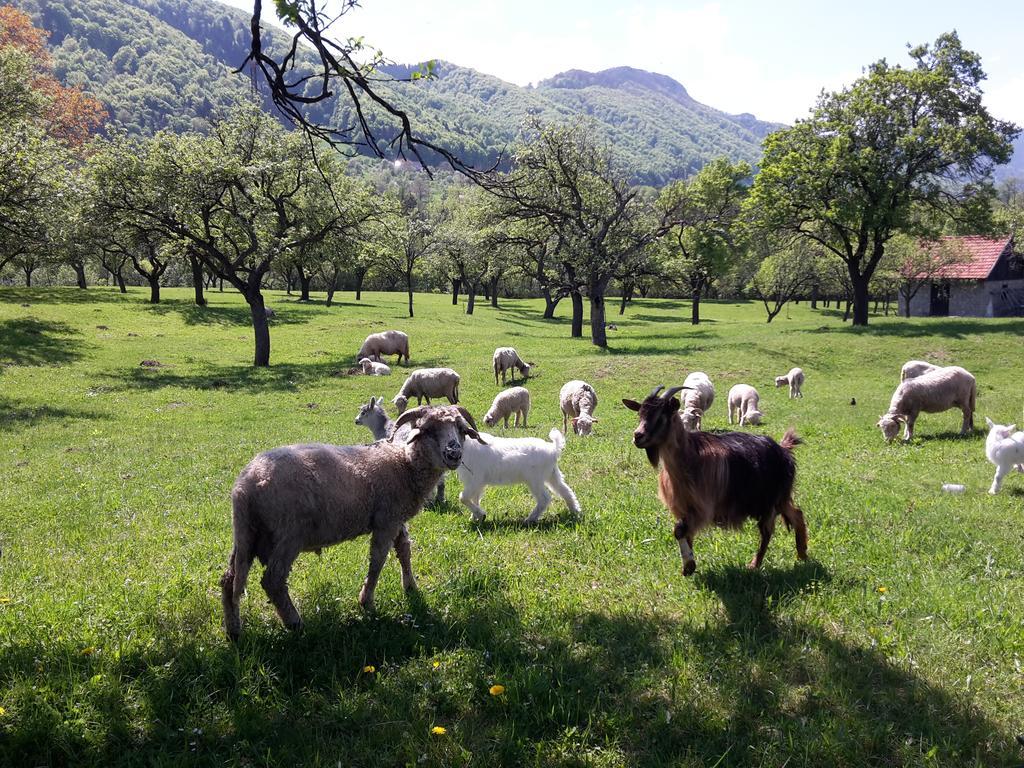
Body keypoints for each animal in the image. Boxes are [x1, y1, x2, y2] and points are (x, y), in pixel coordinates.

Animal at [622, 387, 806, 573]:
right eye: (640, 415)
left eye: (660, 416)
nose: (638, 436)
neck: (689, 458)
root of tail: (783, 450)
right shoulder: (683, 506)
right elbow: (684, 532)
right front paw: (689, 565)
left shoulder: (703, 507)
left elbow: (679, 530)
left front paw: (688, 564)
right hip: (778, 499)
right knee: (797, 514)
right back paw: (802, 555)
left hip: (770, 500)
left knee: (767, 531)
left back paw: (755, 564)